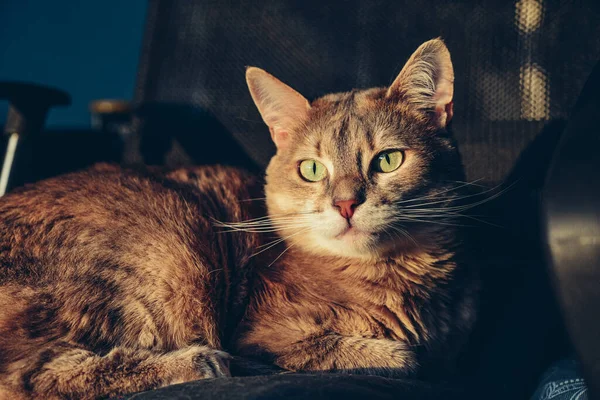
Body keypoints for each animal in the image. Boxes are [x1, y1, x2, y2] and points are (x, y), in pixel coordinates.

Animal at [0, 38, 478, 400]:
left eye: (388, 160)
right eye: (312, 169)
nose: (345, 204)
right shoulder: (268, 334)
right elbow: (401, 358)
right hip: (167, 258)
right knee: (32, 376)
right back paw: (197, 362)